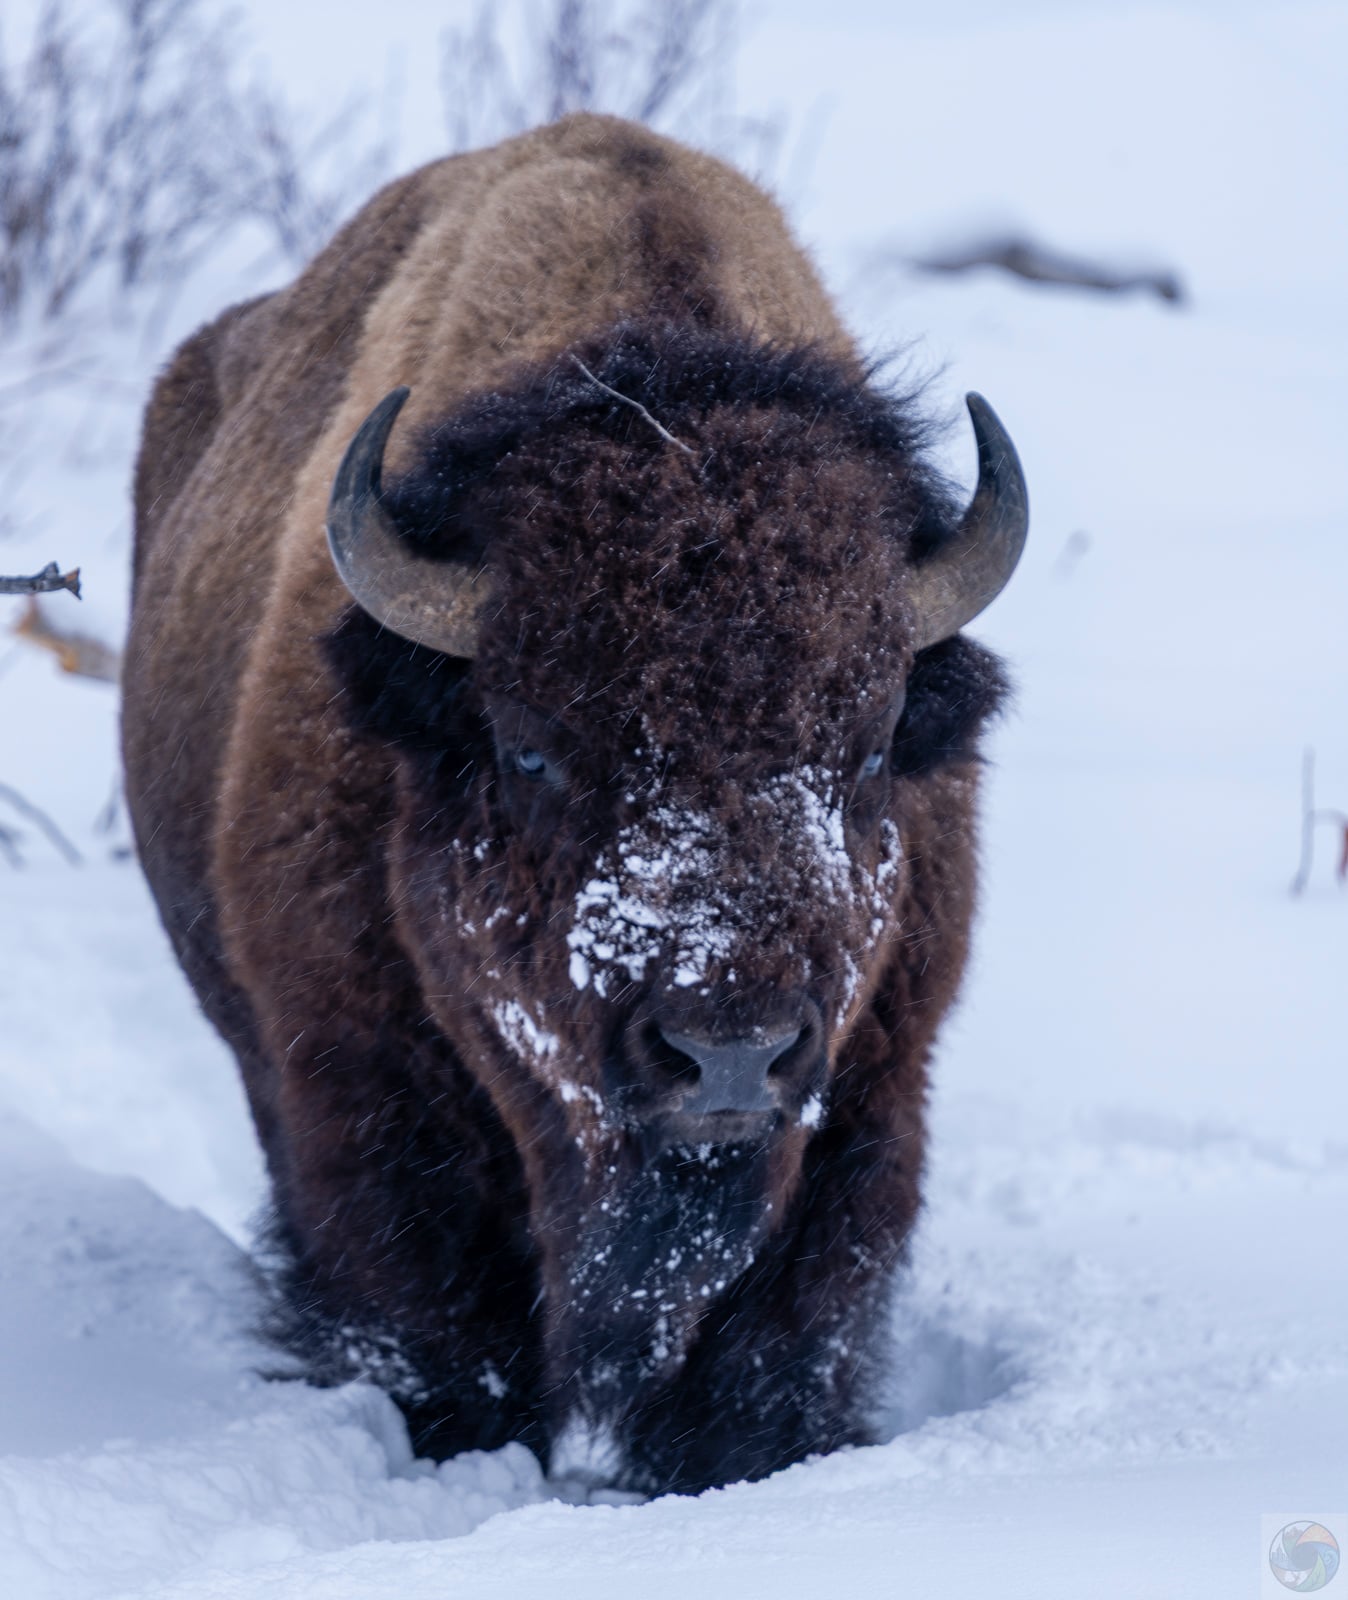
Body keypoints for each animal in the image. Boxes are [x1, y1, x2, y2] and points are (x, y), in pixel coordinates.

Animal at [122, 112, 1027, 1495]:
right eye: (533, 747)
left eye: (869, 744)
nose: (728, 1049)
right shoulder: (359, 1101)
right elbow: (435, 1331)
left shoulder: (871, 1092)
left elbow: (782, 1338)